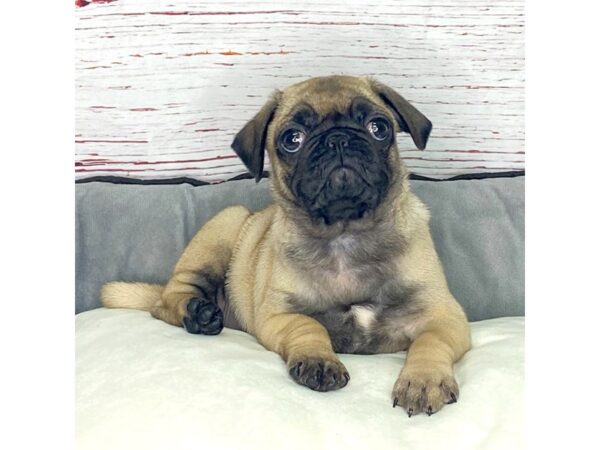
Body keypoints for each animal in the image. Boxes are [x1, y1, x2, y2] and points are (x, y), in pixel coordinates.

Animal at [103, 75, 474, 416]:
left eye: (378, 127)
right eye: (292, 139)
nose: (338, 139)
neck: (344, 233)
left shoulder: (443, 316)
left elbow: (430, 341)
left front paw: (423, 381)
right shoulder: (280, 314)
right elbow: (308, 325)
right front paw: (318, 359)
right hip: (225, 224)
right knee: (166, 300)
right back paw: (199, 313)